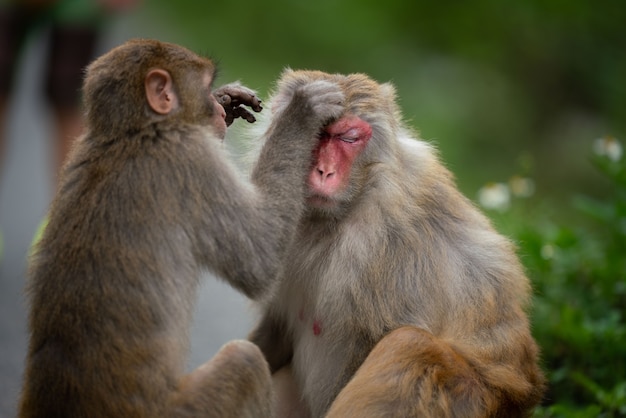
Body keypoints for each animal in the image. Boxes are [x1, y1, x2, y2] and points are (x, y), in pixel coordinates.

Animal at [17, 40, 344, 418]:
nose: (215, 109)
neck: (129, 133)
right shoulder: (189, 158)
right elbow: (259, 259)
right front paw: (302, 111)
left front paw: (228, 100)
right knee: (243, 361)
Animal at [246, 69, 544, 418]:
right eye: (315, 134)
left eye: (348, 138)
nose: (323, 172)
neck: (342, 213)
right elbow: (274, 330)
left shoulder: (388, 246)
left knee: (410, 345)